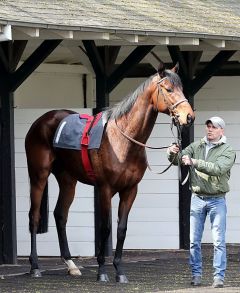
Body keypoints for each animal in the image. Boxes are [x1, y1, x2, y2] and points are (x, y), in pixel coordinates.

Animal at [25, 61, 194, 280]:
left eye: (181, 88)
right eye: (168, 89)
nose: (188, 116)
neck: (122, 139)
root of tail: (41, 121)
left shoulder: (130, 190)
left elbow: (121, 229)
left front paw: (119, 271)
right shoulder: (105, 189)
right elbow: (105, 228)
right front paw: (102, 271)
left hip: (68, 179)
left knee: (60, 215)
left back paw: (71, 264)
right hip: (38, 175)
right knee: (34, 216)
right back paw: (35, 266)